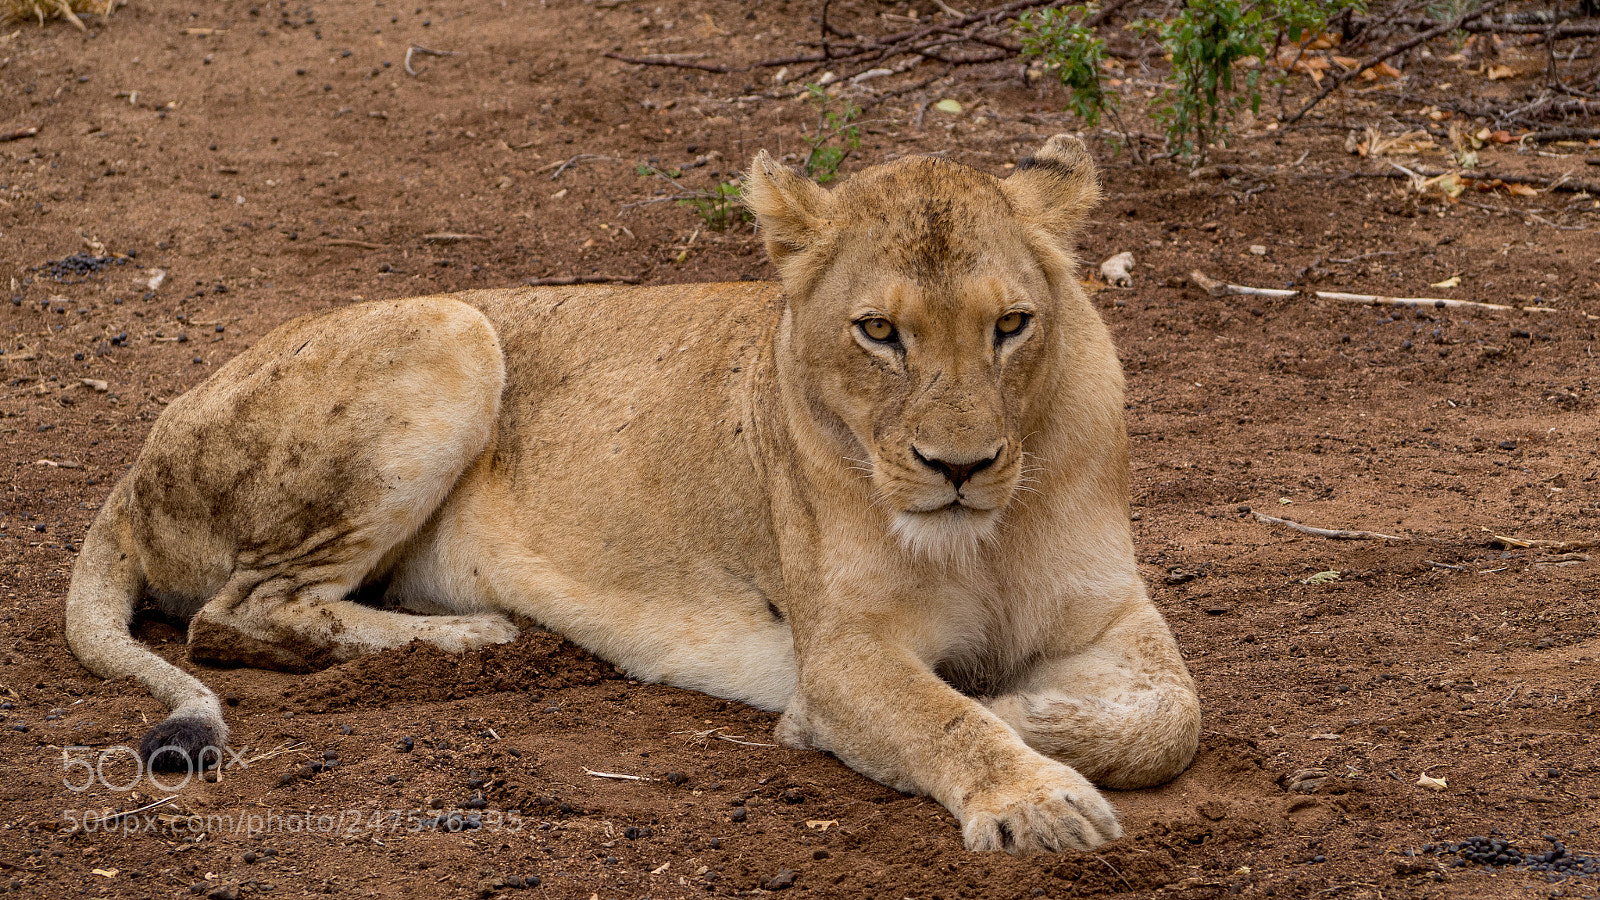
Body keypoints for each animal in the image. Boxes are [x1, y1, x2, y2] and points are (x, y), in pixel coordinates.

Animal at [64, 135, 1200, 854]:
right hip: (451, 327)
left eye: (1011, 326)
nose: (958, 468)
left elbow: (1169, 719)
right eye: (880, 332)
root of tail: (136, 459)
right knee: (234, 615)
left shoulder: (1113, 617)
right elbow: (938, 718)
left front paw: (1026, 713)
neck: (985, 533)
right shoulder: (842, 649)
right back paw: (475, 637)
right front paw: (1032, 795)